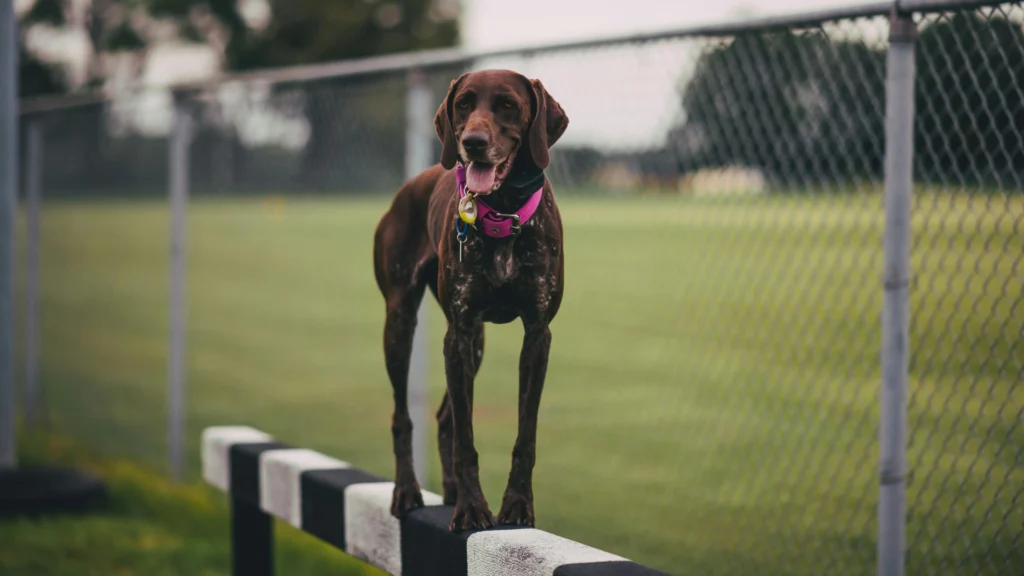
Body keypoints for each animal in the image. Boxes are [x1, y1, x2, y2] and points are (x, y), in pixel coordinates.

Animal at [374, 68, 569, 528]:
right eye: (463, 104)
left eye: (508, 105)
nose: (473, 142)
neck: (502, 210)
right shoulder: (457, 334)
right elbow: (466, 437)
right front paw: (472, 508)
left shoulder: (536, 335)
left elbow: (525, 434)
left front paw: (516, 504)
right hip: (401, 322)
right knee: (403, 416)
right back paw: (408, 490)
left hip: (477, 340)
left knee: (445, 415)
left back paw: (448, 491)